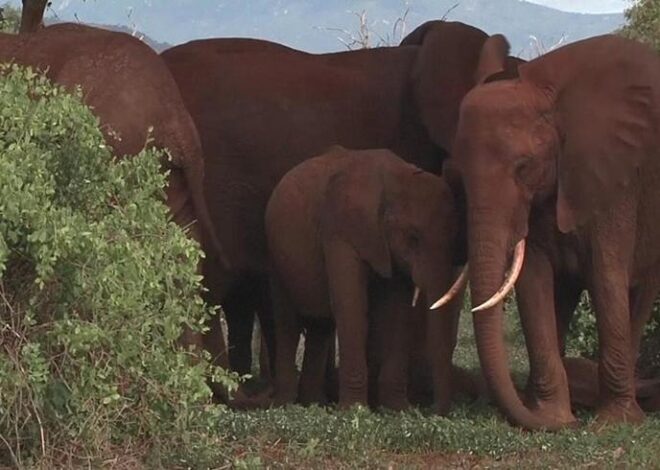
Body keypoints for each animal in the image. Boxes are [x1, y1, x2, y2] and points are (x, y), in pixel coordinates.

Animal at [262, 146, 464, 412]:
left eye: (454, 237)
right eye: (413, 238)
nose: (433, 410)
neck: (395, 178)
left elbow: (397, 311)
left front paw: (398, 408)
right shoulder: (341, 230)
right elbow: (351, 304)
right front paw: (354, 409)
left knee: (320, 326)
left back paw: (313, 403)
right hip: (276, 255)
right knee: (287, 321)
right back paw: (285, 404)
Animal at [452, 33, 660, 430]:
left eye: (523, 167)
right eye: (459, 174)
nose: (571, 425)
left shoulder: (613, 181)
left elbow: (607, 276)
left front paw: (614, 423)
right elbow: (534, 280)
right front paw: (552, 417)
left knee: (640, 293)